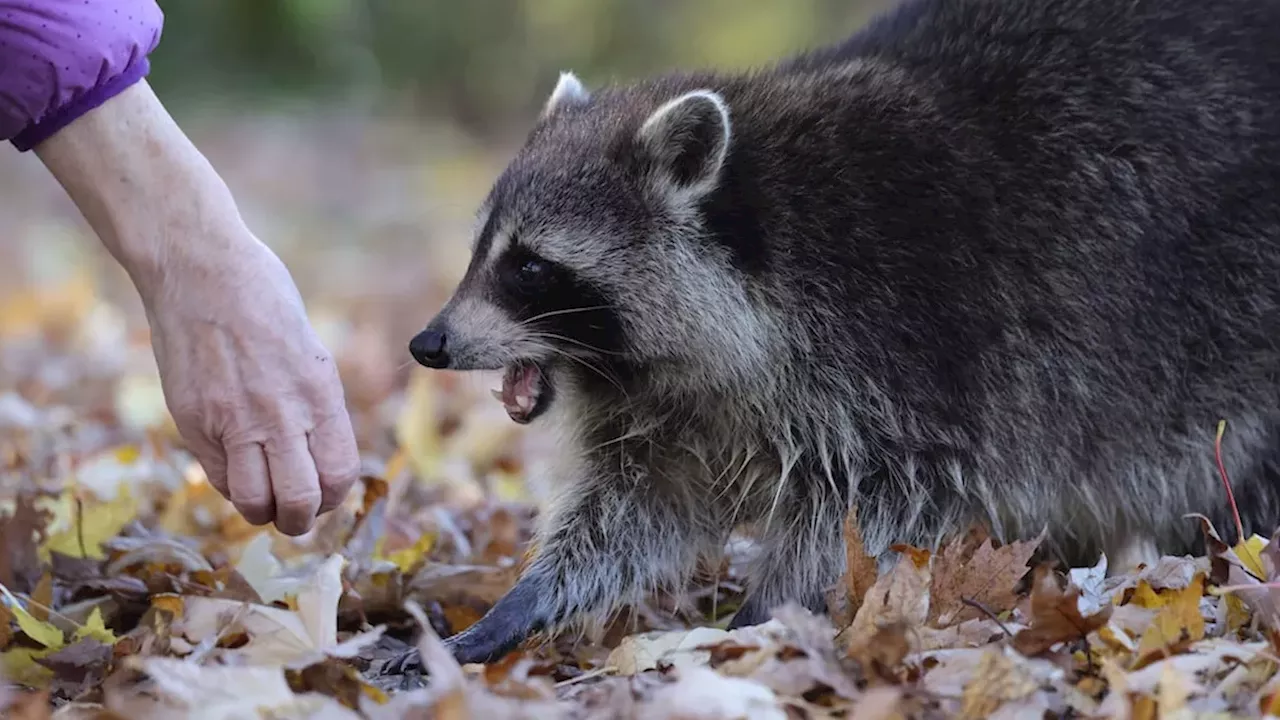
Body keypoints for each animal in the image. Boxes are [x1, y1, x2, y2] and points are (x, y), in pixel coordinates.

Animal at [406, 0, 1280, 666]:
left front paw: (760, 615)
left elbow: (869, 510)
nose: (428, 345)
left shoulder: (909, 356)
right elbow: (638, 507)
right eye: (482, 252)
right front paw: (526, 599)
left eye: (529, 266)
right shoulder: (667, 411)